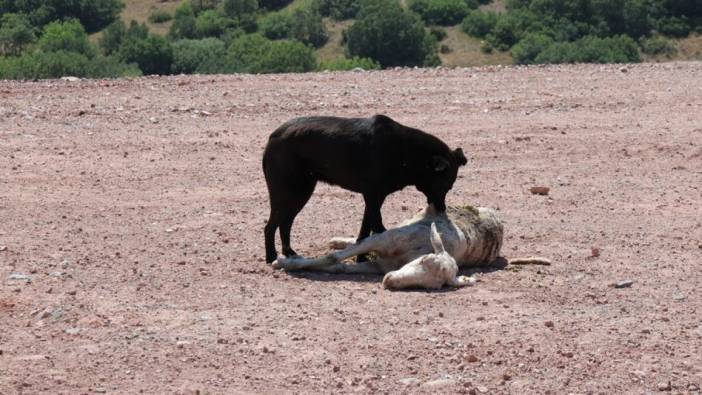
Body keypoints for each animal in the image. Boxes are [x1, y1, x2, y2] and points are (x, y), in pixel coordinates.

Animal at [262, 113, 468, 262]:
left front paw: (361, 256)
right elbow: (378, 228)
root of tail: (273, 136)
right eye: (445, 185)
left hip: (301, 192)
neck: (408, 153)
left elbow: (365, 231)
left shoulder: (373, 198)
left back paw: (289, 253)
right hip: (288, 192)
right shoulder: (373, 196)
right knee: (271, 226)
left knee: (285, 223)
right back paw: (271, 257)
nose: (442, 209)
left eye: (450, 187)